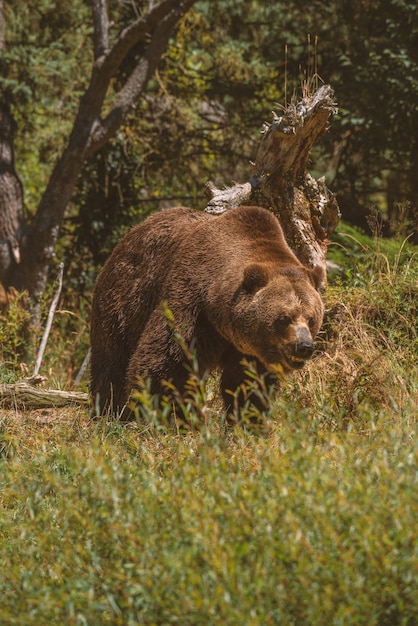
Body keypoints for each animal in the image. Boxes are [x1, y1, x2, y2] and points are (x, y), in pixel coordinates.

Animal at [90, 205, 326, 420]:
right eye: (284, 318)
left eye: (311, 319)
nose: (304, 346)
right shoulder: (192, 306)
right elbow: (168, 363)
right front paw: (169, 416)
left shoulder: (249, 351)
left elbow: (248, 384)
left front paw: (249, 420)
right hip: (124, 302)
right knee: (111, 363)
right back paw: (108, 413)